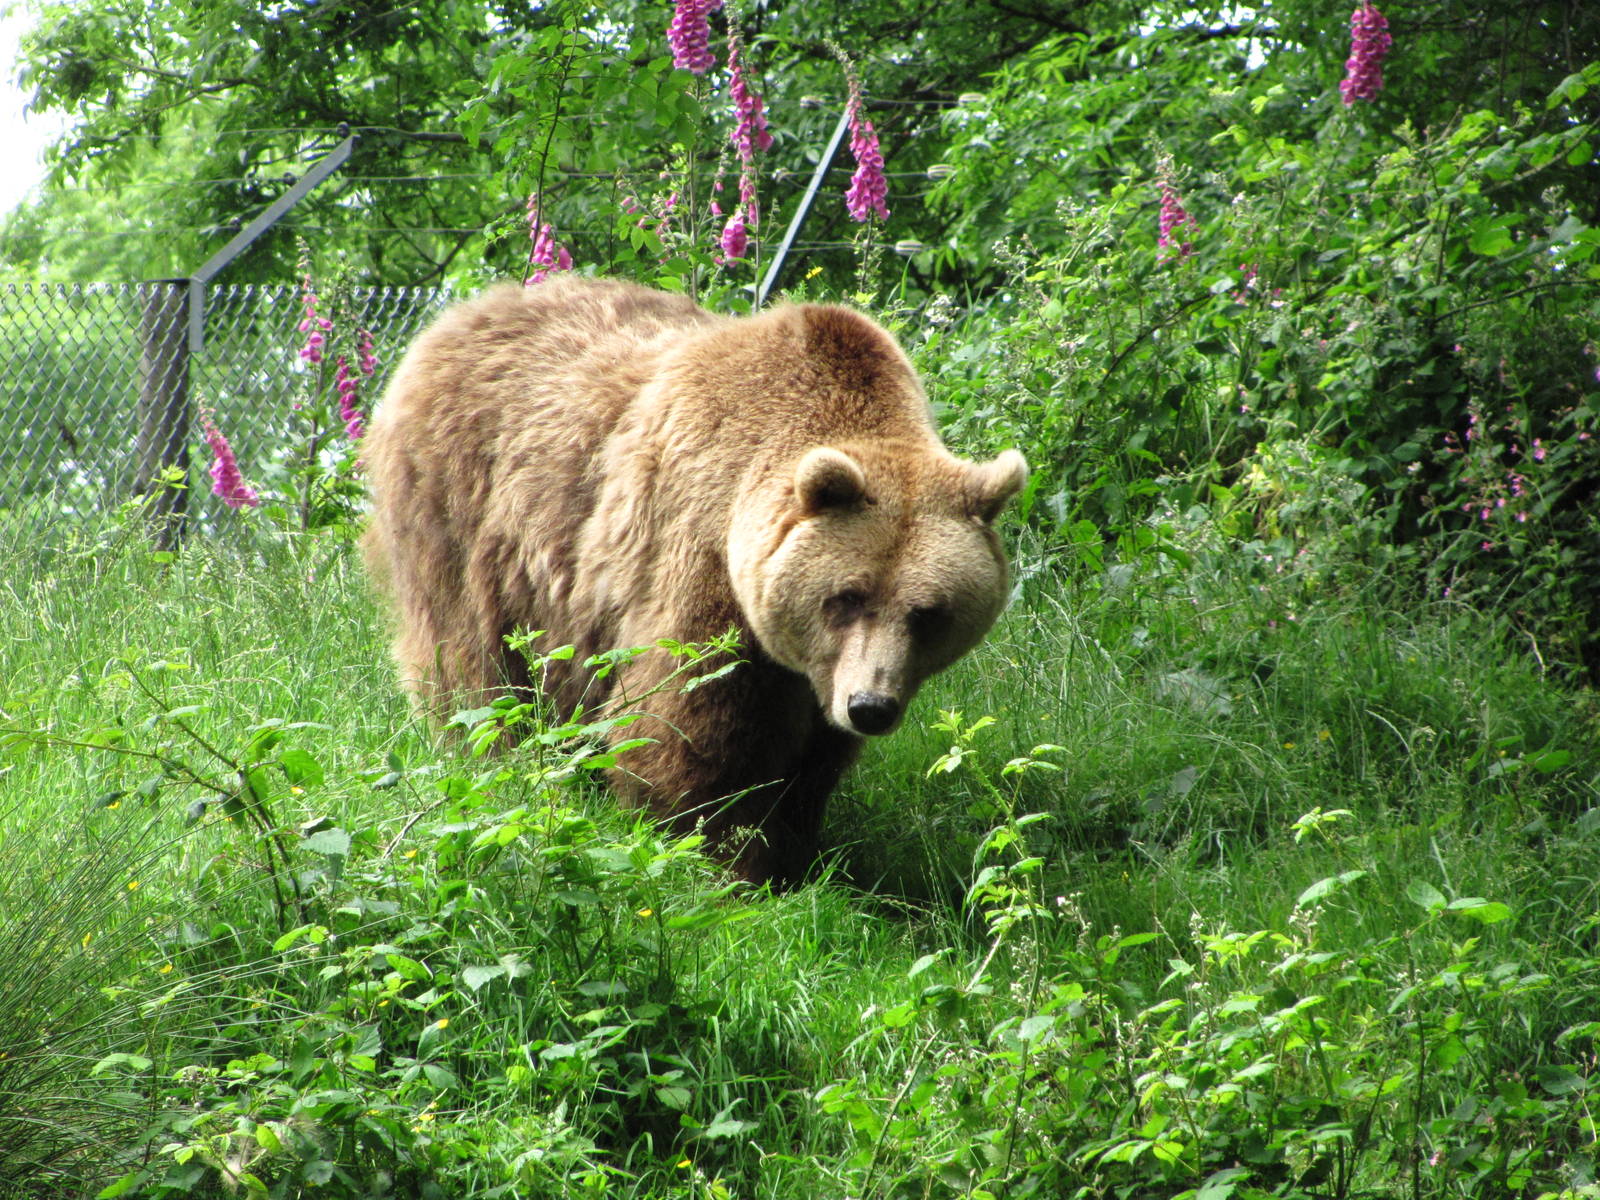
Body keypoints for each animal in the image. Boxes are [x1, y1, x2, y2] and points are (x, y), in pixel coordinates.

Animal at [361, 276, 1027, 886]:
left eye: (929, 612)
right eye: (847, 597)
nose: (870, 707)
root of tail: (456, 315)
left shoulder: (820, 670)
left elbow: (813, 759)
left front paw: (798, 851)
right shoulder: (697, 547)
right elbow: (692, 726)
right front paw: (728, 857)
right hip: (465, 510)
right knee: (473, 662)